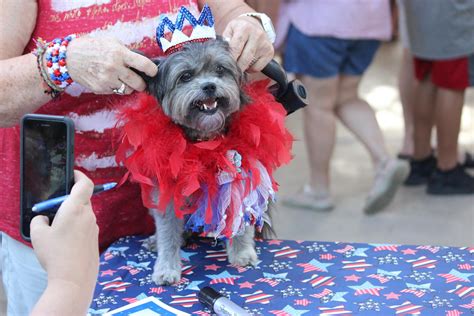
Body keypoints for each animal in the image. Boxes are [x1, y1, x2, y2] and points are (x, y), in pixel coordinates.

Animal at [141, 38, 260, 286]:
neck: (205, 142)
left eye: (220, 70)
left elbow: (241, 220)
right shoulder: (168, 194)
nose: (209, 87)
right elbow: (168, 232)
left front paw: (242, 251)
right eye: (185, 76)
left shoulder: (239, 181)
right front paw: (166, 267)